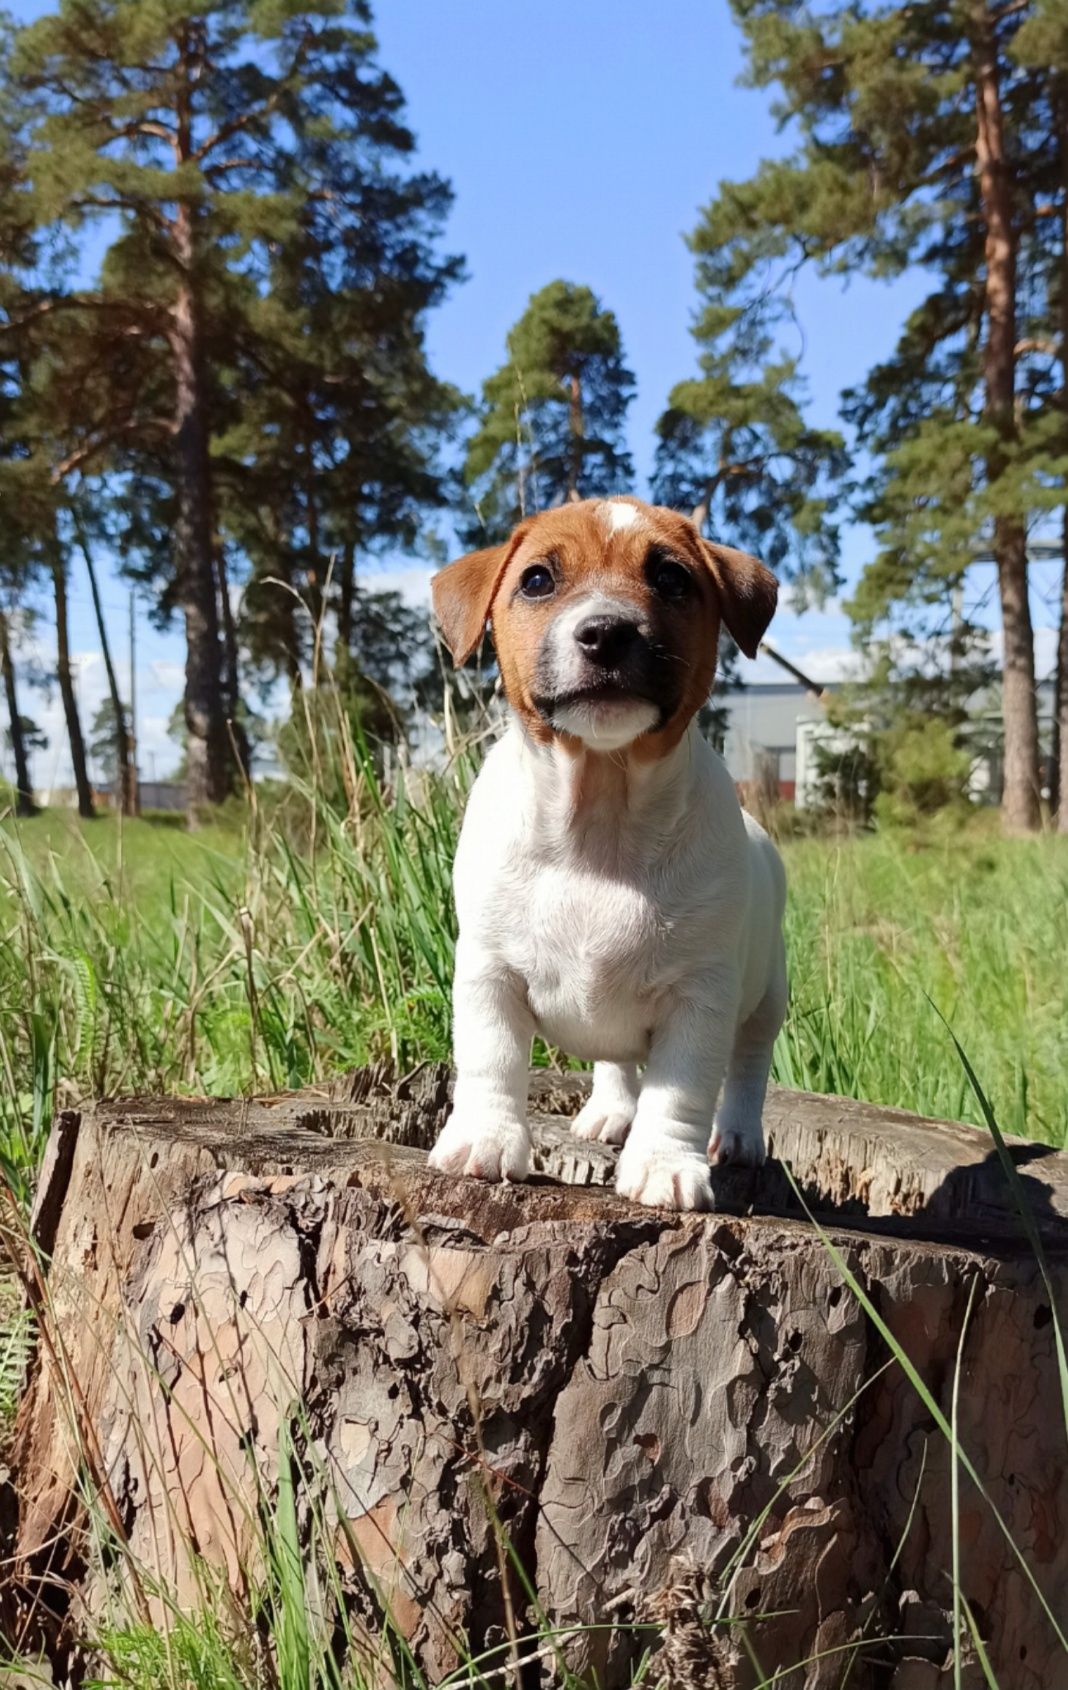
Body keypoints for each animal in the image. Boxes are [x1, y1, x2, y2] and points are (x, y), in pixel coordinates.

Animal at [424, 493, 784, 1210]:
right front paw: (484, 1138)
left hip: (768, 995)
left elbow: (680, 1090)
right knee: (616, 1057)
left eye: (672, 578)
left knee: (748, 1064)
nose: (606, 632)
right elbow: (490, 1058)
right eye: (537, 580)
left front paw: (665, 1165)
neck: (601, 814)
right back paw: (612, 1111)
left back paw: (737, 1135)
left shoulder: (699, 998)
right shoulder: (487, 971)